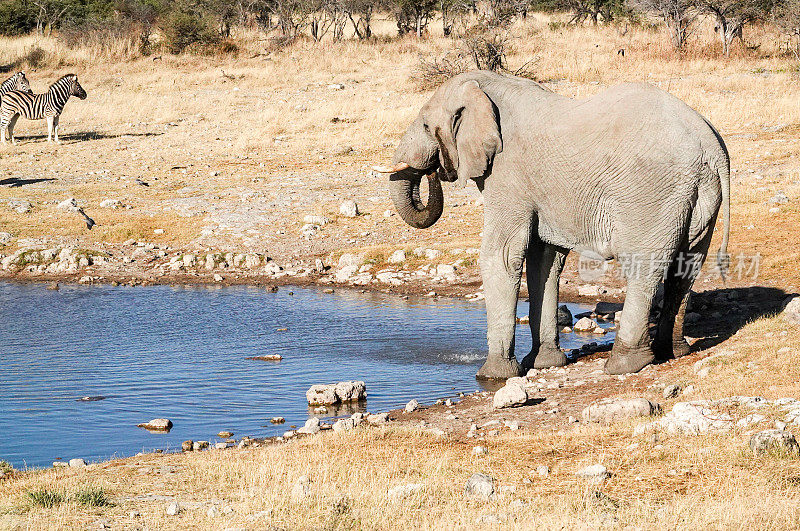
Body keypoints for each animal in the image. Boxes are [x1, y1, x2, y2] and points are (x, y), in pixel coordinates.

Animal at [376, 70, 732, 380]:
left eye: (426, 125)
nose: (435, 169)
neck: (488, 88)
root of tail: (711, 147)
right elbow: (543, 259)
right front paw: (544, 364)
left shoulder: (508, 176)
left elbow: (501, 255)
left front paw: (493, 375)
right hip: (696, 198)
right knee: (686, 268)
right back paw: (673, 352)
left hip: (650, 194)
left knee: (644, 267)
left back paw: (623, 365)